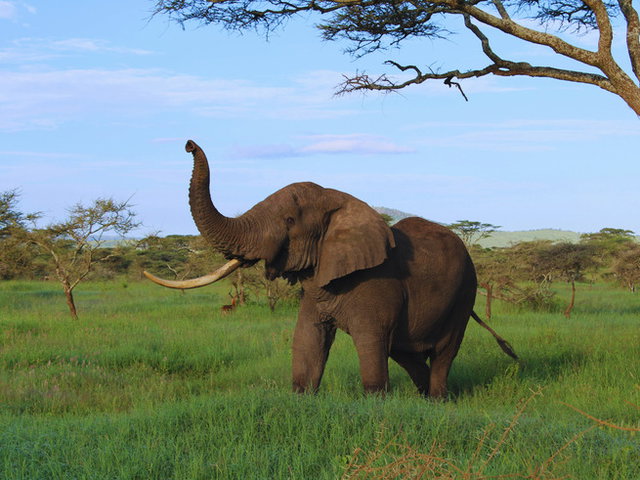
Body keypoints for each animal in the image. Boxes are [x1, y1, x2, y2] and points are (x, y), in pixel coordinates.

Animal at [144, 140, 517, 398]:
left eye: (289, 221)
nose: (189, 144)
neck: (338, 200)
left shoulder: (377, 283)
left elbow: (370, 346)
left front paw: (376, 406)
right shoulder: (316, 285)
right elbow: (308, 342)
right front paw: (302, 397)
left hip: (464, 291)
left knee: (442, 352)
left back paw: (438, 400)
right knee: (404, 351)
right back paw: (425, 399)